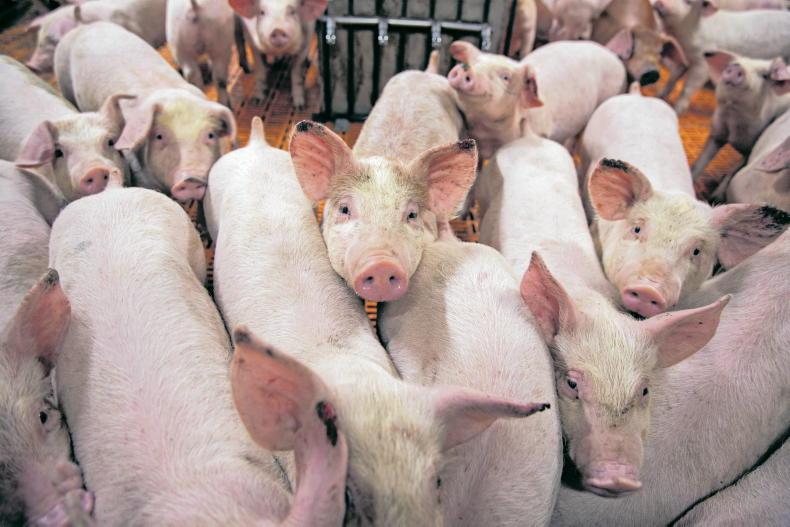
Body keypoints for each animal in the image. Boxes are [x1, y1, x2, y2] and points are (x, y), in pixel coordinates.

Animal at [652, 0, 790, 113]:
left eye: (688, 2)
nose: (660, 2)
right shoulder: (684, 57)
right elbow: (673, 78)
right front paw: (659, 95)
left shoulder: (702, 65)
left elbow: (688, 87)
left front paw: (676, 110)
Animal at [691, 52, 790, 186]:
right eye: (732, 63)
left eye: (765, 76)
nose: (737, 66)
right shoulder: (716, 134)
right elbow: (700, 163)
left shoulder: (751, 149)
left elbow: (732, 174)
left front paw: (718, 191)